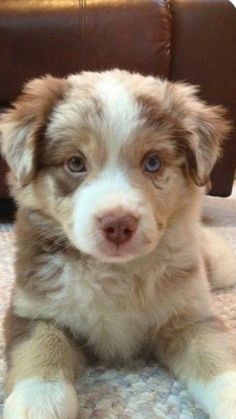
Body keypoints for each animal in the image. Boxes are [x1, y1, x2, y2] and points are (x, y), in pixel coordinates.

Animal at [0, 70, 236, 418]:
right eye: (75, 163)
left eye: (153, 163)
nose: (118, 224)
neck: (115, 272)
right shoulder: (33, 309)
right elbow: (39, 347)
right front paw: (39, 401)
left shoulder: (191, 316)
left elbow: (215, 356)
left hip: (217, 264)